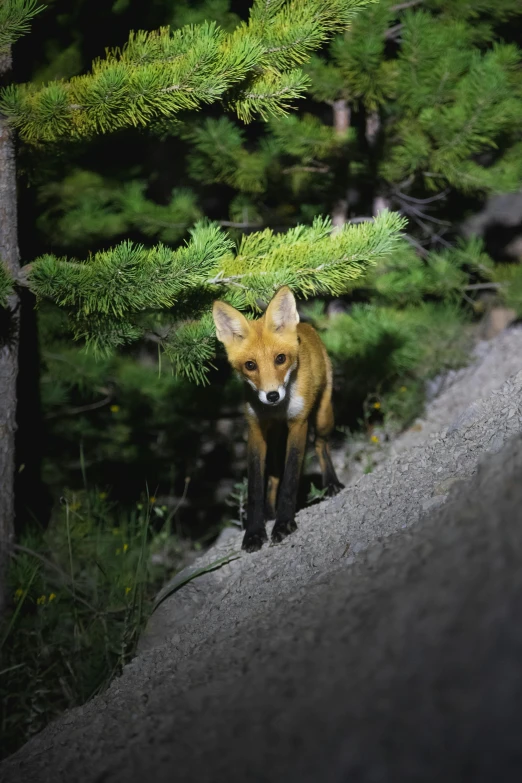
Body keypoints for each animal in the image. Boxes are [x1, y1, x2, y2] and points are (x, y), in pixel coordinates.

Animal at [211, 286, 342, 552]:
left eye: (280, 359)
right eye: (250, 365)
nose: (272, 395)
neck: (277, 409)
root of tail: (306, 327)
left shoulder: (299, 424)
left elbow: (290, 478)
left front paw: (283, 524)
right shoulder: (255, 430)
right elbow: (255, 487)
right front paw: (254, 532)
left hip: (323, 417)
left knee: (321, 445)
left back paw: (331, 483)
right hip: (275, 440)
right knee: (273, 473)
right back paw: (270, 511)